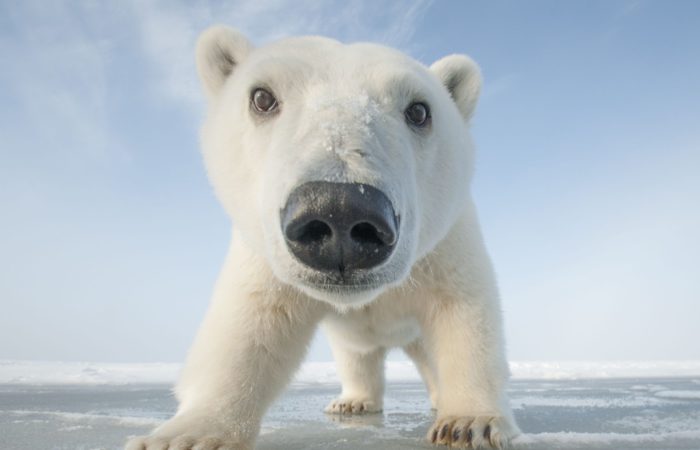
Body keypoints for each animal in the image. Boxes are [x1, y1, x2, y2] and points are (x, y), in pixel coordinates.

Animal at [126, 25, 519, 450]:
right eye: (262, 97)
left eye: (419, 110)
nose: (340, 211)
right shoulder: (264, 261)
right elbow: (250, 326)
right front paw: (185, 436)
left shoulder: (445, 247)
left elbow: (464, 314)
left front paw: (471, 422)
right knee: (356, 355)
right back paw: (353, 402)